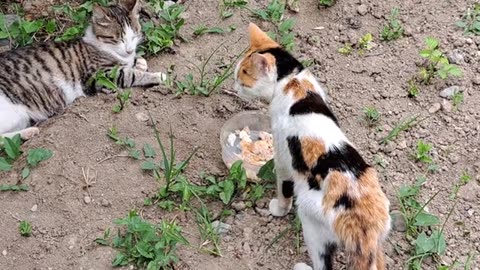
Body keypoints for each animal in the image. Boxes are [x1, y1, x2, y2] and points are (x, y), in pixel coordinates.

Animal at [0, 0, 167, 139]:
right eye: (118, 39)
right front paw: (158, 76)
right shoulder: (100, 75)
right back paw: (29, 132)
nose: (129, 49)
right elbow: (132, 74)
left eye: (134, 36)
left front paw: (139, 63)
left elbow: (138, 63)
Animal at [234, 22, 392, 268]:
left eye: (243, 80)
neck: (292, 81)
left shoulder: (283, 159)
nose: (233, 86)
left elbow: (283, 189)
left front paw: (278, 209)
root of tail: (364, 226)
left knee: (322, 263)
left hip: (311, 221)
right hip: (378, 243)